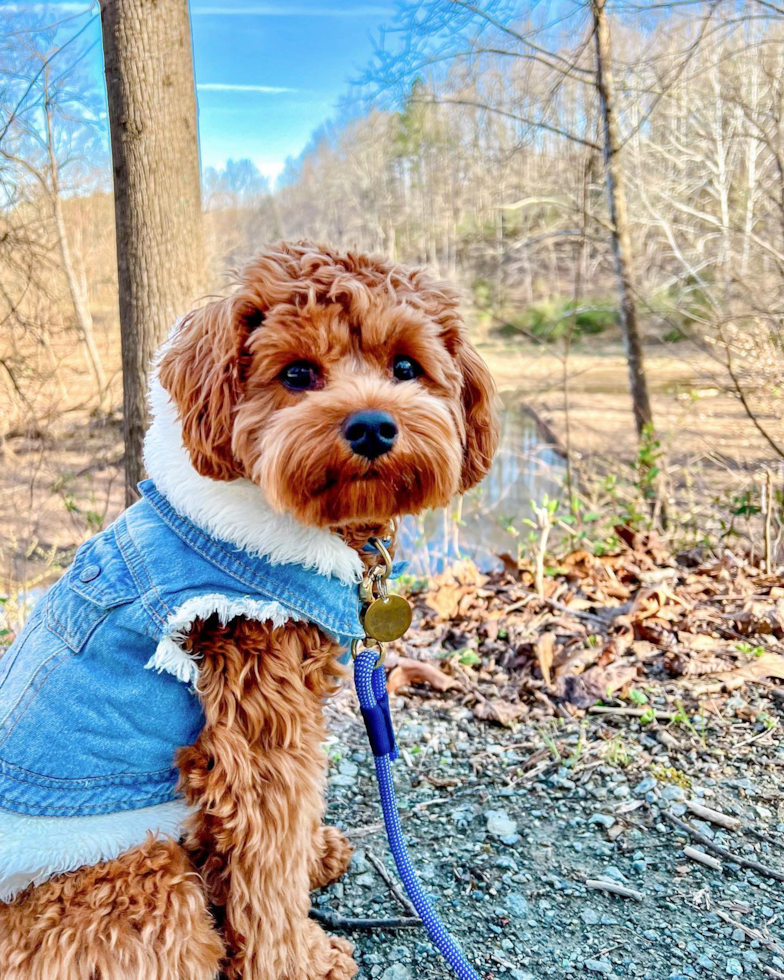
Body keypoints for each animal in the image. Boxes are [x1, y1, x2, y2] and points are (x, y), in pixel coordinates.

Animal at [0, 239, 500, 980]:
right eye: (296, 373)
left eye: (407, 367)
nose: (373, 426)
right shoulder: (252, 715)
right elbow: (268, 851)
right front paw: (298, 962)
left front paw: (315, 856)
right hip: (142, 887)